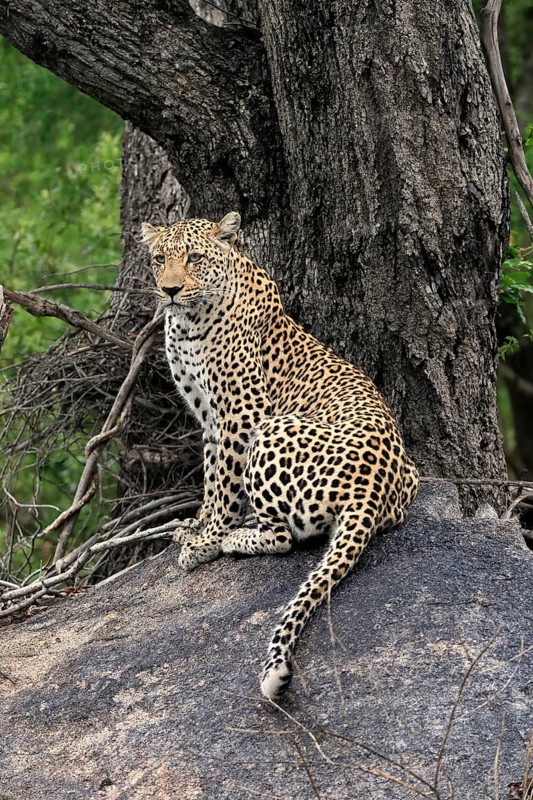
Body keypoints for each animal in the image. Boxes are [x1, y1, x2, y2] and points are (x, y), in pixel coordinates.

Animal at [141, 212, 419, 700]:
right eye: (159, 259)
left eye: (193, 258)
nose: (169, 290)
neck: (187, 321)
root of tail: (372, 488)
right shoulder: (209, 415)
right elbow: (212, 477)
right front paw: (196, 525)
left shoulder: (240, 413)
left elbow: (224, 483)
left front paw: (206, 541)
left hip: (269, 433)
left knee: (285, 537)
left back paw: (235, 538)